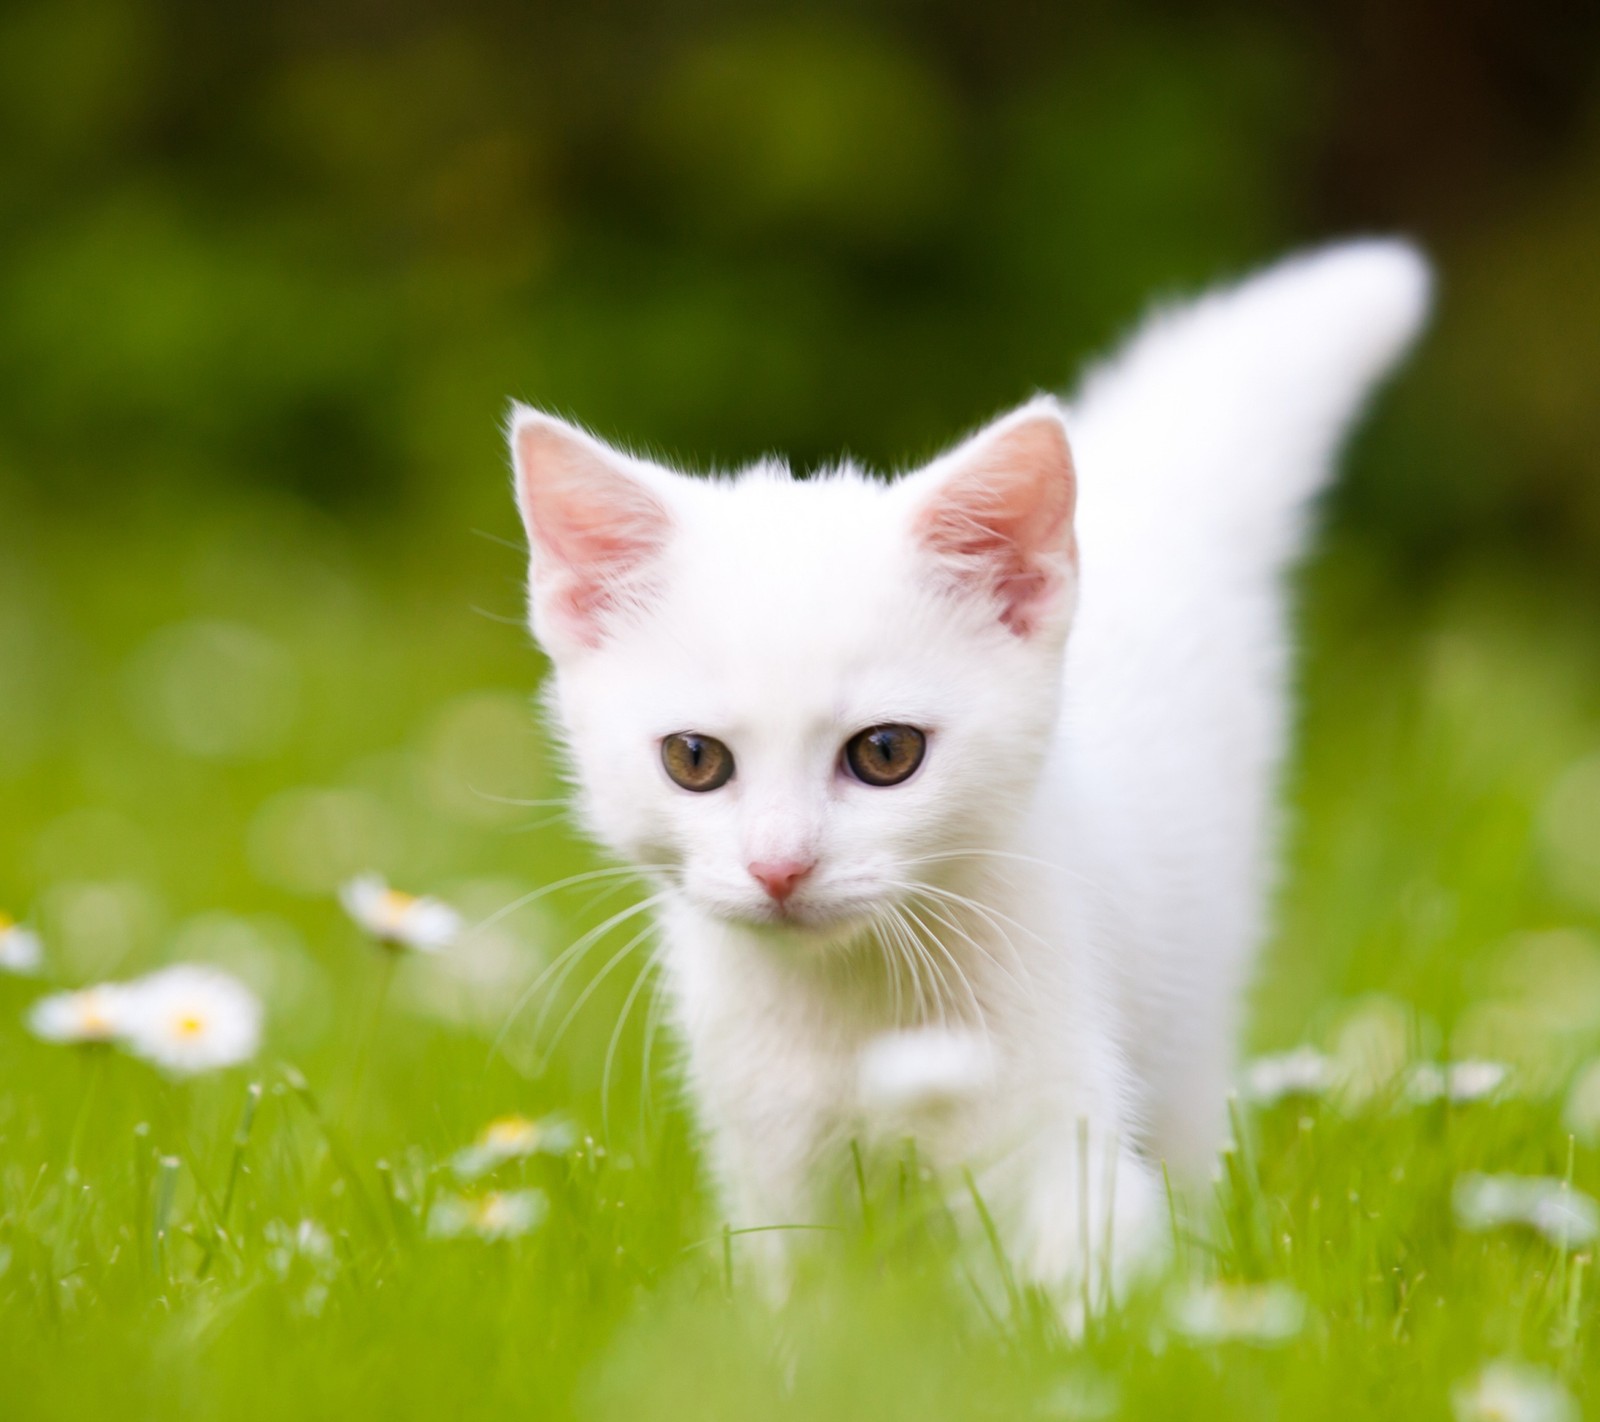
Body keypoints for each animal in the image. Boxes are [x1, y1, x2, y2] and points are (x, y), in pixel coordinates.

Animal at [505, 241, 1433, 1298]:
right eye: (694, 759)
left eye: (885, 753)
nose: (780, 867)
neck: (852, 1011)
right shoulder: (768, 1155)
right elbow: (797, 1299)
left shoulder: (1053, 1118)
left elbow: (1082, 1272)